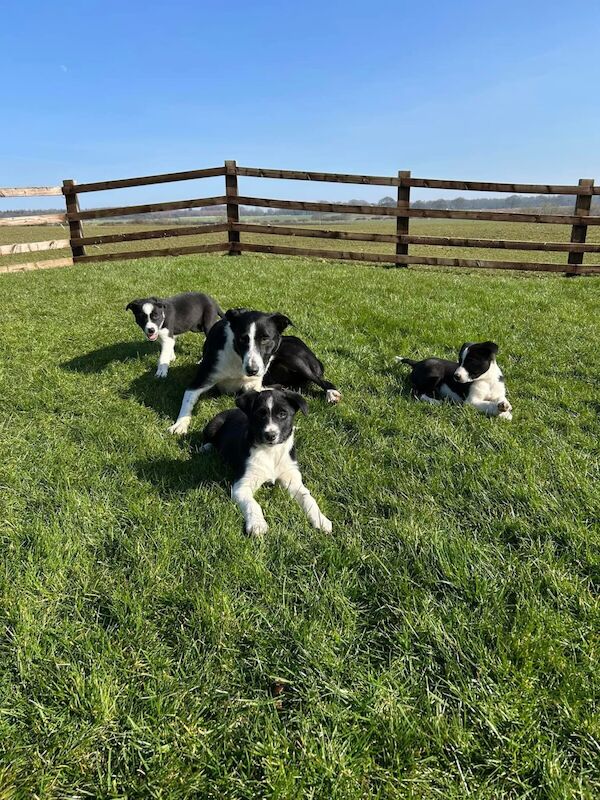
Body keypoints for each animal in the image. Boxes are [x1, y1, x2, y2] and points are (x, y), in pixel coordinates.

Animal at [168, 308, 342, 434]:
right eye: (242, 338)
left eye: (265, 338)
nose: (252, 370)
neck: (237, 359)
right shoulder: (201, 380)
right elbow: (188, 401)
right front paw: (180, 424)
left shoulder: (251, 385)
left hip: (295, 358)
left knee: (322, 380)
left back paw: (331, 393)